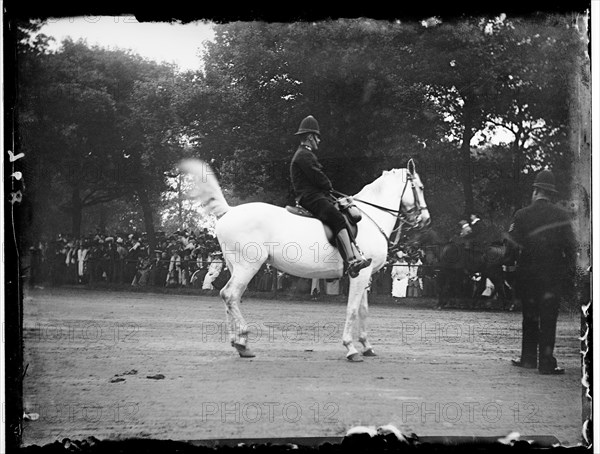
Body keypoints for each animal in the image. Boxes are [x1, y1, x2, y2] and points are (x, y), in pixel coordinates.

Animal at [180, 159, 428, 362]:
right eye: (420, 187)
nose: (425, 219)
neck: (370, 218)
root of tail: (229, 211)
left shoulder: (365, 276)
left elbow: (363, 310)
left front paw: (367, 346)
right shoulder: (360, 274)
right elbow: (352, 309)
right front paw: (351, 348)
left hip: (235, 267)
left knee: (229, 298)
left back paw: (239, 343)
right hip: (247, 266)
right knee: (230, 295)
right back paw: (242, 340)